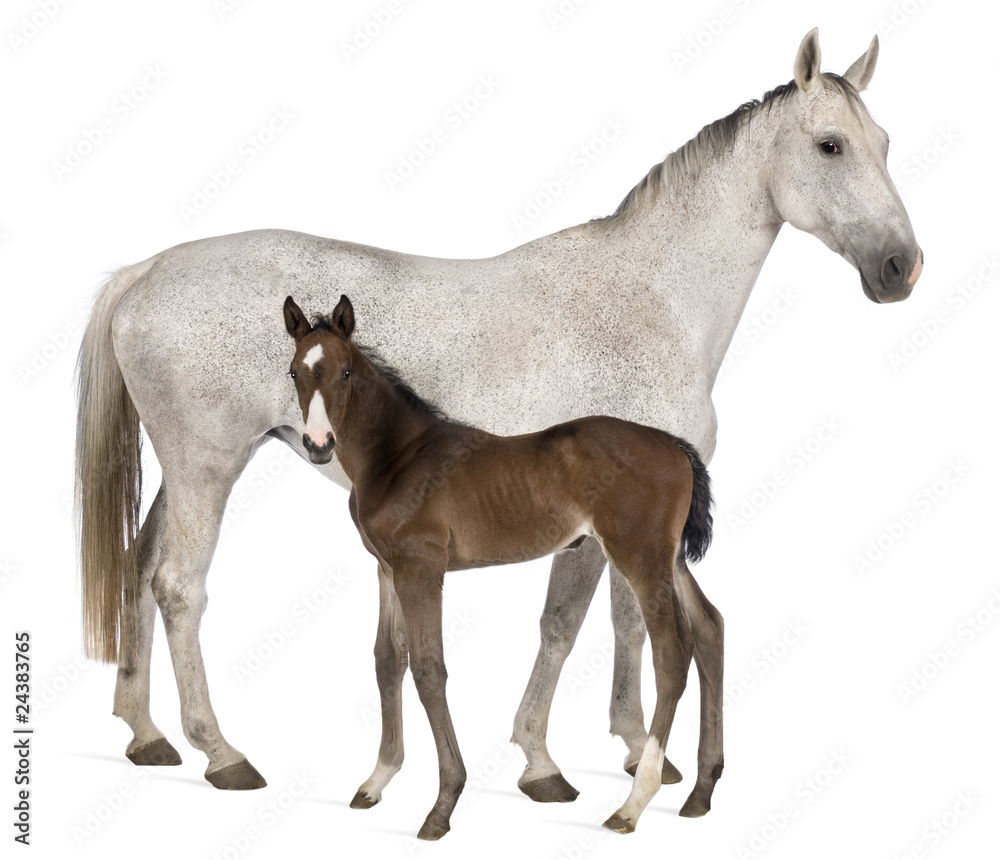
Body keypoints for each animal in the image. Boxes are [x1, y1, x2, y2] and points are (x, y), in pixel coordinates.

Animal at [282, 296, 720, 840]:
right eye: (294, 371)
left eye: (345, 371)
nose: (318, 443)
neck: (398, 458)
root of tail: (674, 444)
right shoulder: (386, 569)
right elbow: (388, 661)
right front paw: (376, 780)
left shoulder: (421, 568)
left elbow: (428, 668)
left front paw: (442, 804)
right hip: (671, 558)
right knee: (710, 627)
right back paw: (702, 791)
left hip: (640, 556)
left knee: (673, 651)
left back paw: (633, 804)